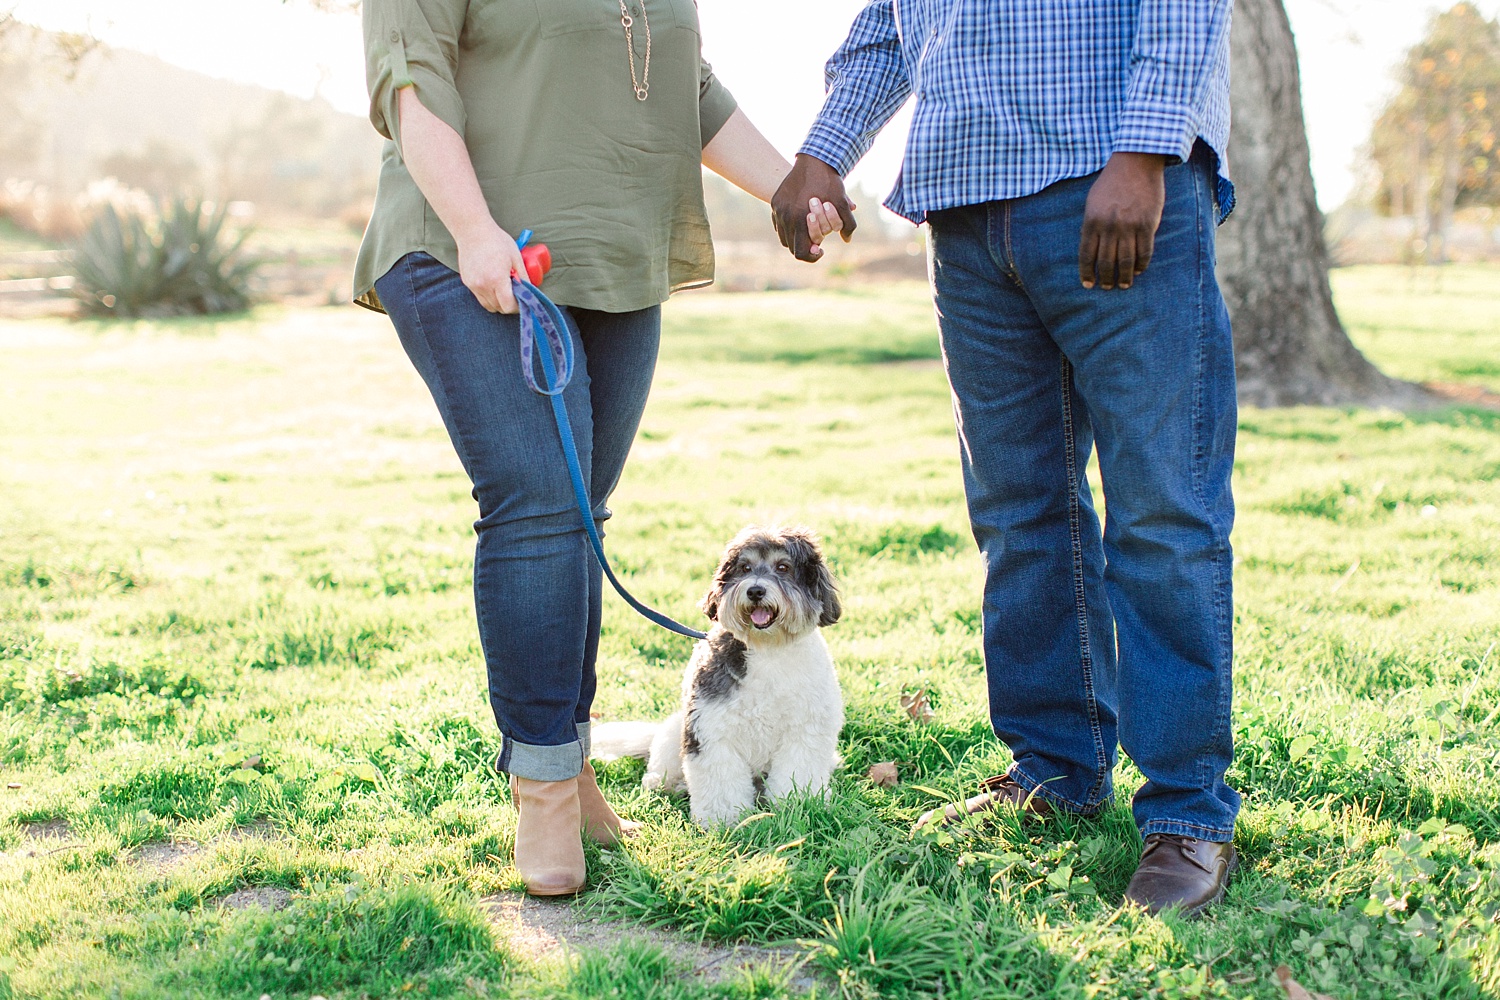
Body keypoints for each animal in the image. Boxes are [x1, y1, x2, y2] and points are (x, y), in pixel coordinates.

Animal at [588, 527, 846, 827]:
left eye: (783, 567)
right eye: (744, 568)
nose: (755, 590)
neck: (767, 649)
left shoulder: (805, 732)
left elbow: (797, 773)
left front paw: (798, 806)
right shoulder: (710, 729)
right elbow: (720, 781)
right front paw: (722, 820)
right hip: (676, 730)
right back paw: (669, 784)